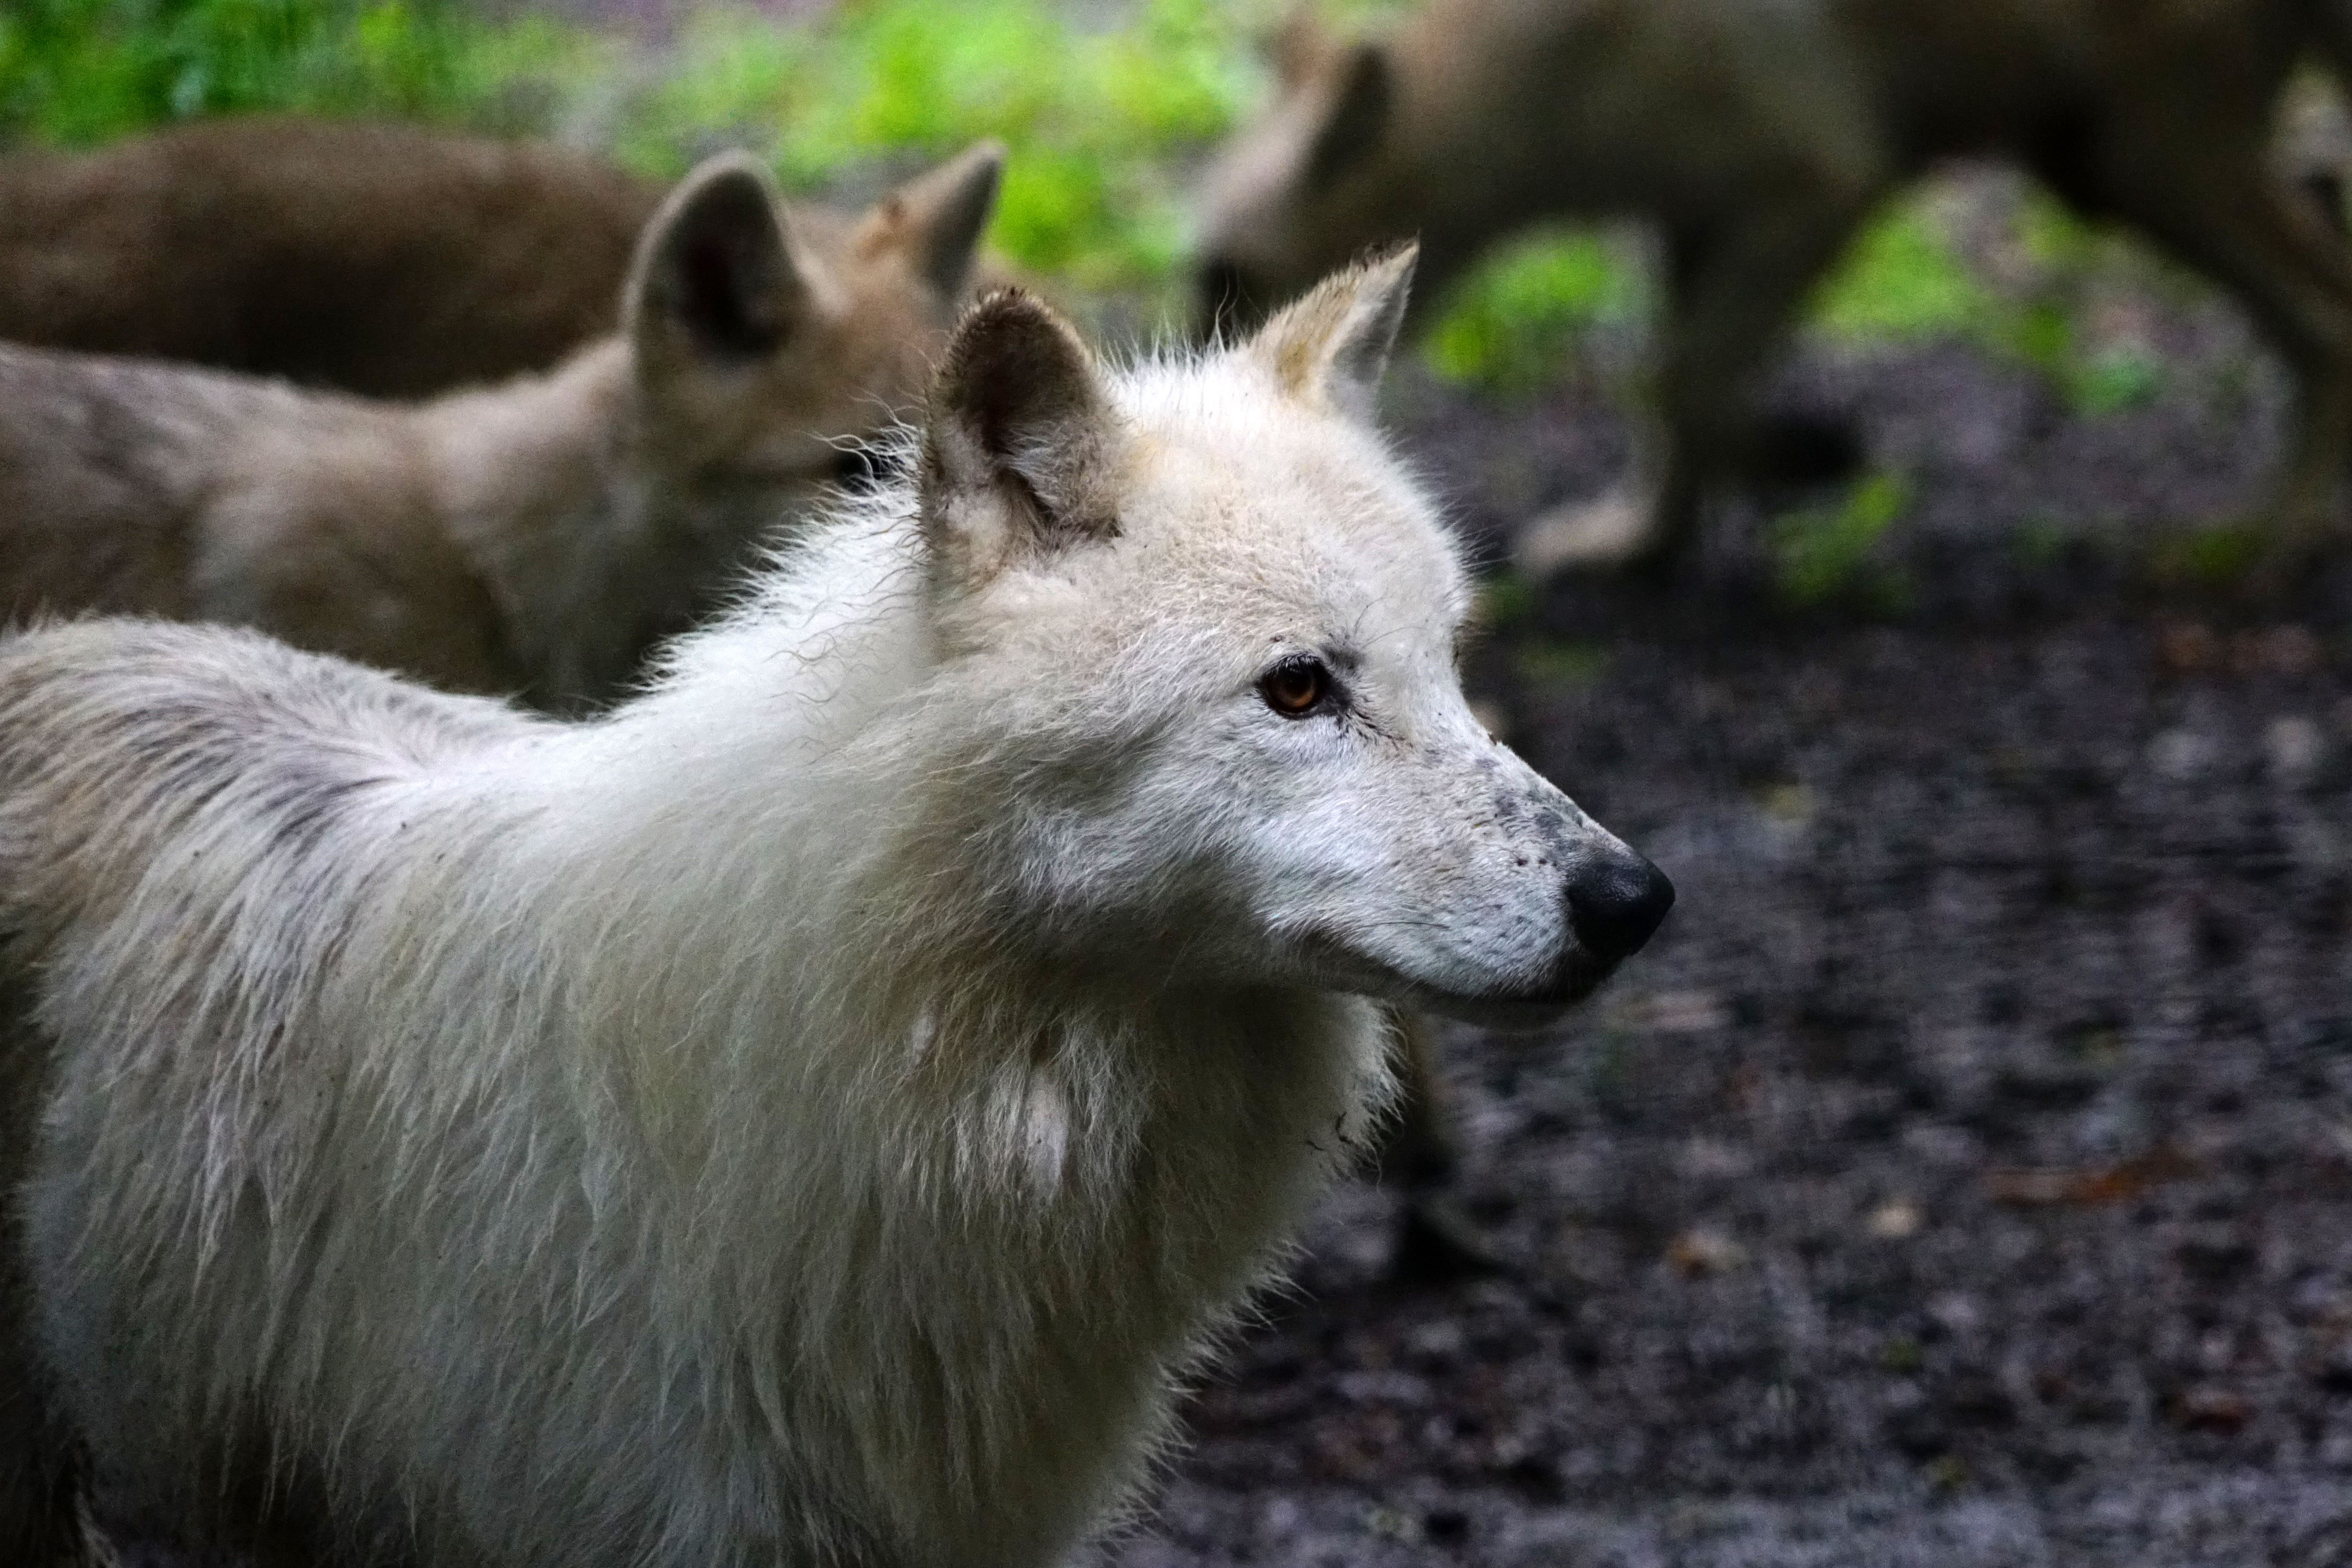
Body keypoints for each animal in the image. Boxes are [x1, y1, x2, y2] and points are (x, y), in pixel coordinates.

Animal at [1196, 0, 2352, 569]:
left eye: (1224, 275)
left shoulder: (1818, 181)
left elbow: (1679, 375)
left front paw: (1812, 454)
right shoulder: (1697, 212)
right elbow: (1666, 388)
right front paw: (1639, 541)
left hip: (2140, 154)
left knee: (2324, 312)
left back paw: (2273, 535)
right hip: (2101, 162)